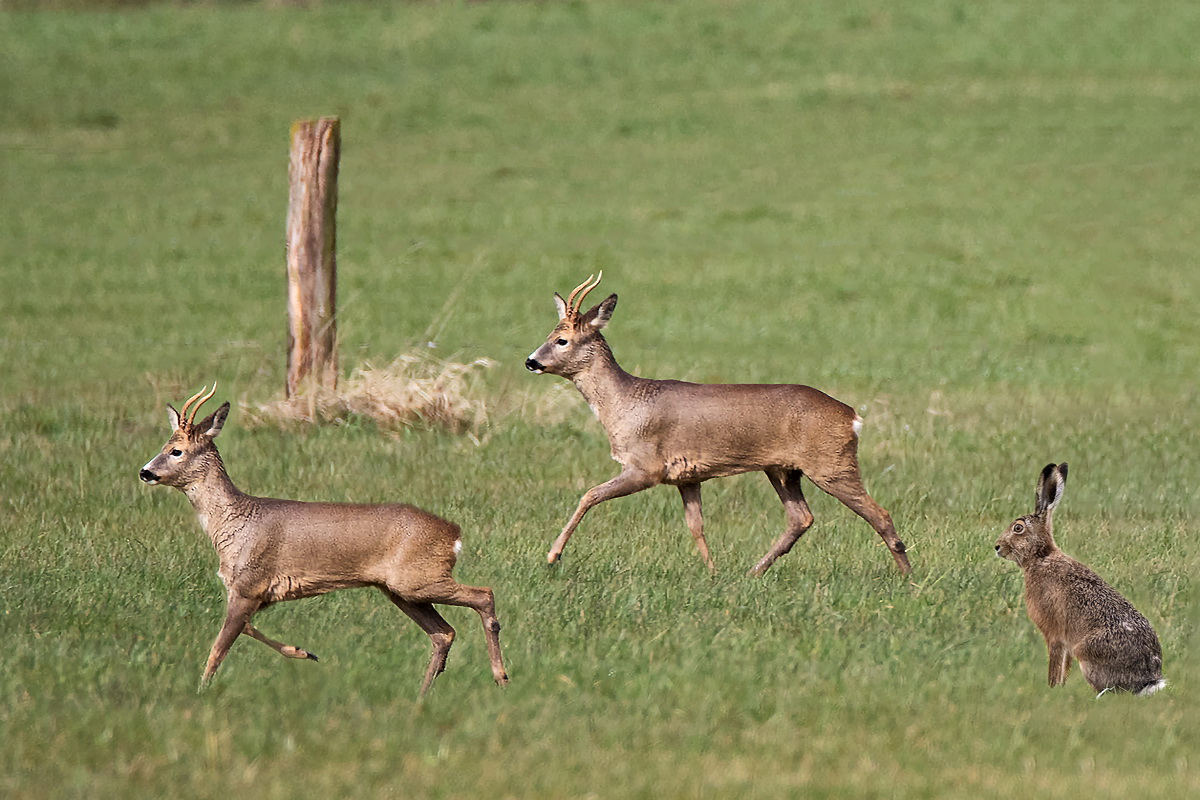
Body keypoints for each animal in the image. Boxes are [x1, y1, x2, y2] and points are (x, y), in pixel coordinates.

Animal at [138, 386, 508, 695]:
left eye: (176, 450)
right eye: (164, 447)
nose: (145, 472)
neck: (235, 522)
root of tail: (454, 533)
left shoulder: (248, 585)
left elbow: (218, 647)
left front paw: (201, 691)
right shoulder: (256, 593)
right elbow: (245, 629)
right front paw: (304, 652)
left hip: (417, 580)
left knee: (483, 595)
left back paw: (500, 677)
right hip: (399, 590)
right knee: (443, 632)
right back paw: (423, 693)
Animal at [525, 273, 907, 575]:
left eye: (562, 340)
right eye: (549, 335)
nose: (530, 361)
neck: (626, 403)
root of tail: (852, 417)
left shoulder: (646, 466)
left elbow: (589, 494)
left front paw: (552, 556)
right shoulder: (686, 477)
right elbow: (696, 525)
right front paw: (712, 572)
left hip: (830, 463)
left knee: (880, 513)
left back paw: (908, 579)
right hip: (783, 469)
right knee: (801, 518)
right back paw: (753, 572)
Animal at [998, 465, 1166, 695]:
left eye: (1018, 528)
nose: (997, 547)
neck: (1041, 556)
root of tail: (1148, 680)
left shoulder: (1055, 636)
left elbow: (1055, 665)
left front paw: (1051, 689)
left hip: (1086, 654)